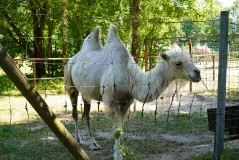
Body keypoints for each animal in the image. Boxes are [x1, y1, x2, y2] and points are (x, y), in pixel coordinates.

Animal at [64, 24, 201, 159]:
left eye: (191, 59)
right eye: (178, 63)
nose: (198, 73)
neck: (130, 78)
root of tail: (73, 58)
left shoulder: (126, 101)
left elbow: (121, 128)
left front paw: (122, 151)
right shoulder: (111, 101)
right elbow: (117, 131)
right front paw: (118, 156)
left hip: (86, 92)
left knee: (86, 114)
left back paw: (94, 144)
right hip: (71, 85)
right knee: (75, 112)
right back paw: (79, 140)